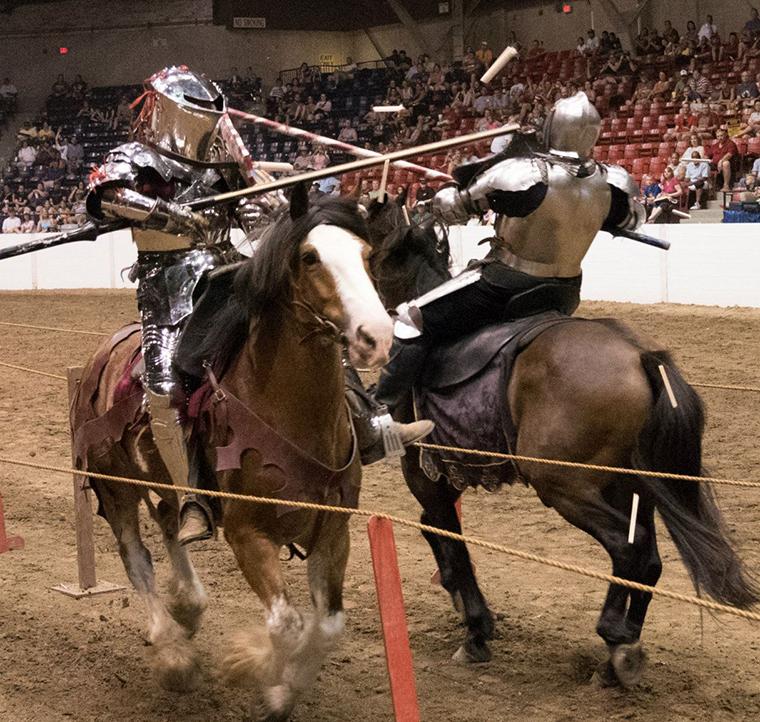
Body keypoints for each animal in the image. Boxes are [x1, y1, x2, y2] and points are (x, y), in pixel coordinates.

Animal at [72, 188, 392, 716]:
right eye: (309, 257)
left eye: (367, 256)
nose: (376, 336)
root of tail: (103, 353)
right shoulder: (248, 534)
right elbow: (286, 624)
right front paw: (252, 669)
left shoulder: (333, 531)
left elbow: (327, 626)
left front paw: (284, 689)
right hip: (115, 486)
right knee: (135, 556)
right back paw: (174, 655)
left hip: (161, 485)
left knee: (172, 525)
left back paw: (188, 607)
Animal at [366, 198, 756, 688]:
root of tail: (641, 356)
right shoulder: (446, 471)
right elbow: (433, 530)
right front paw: (459, 600)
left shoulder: (422, 471)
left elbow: (448, 537)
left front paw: (476, 629)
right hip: (633, 487)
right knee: (648, 558)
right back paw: (619, 652)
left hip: (565, 485)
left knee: (628, 549)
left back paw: (615, 639)